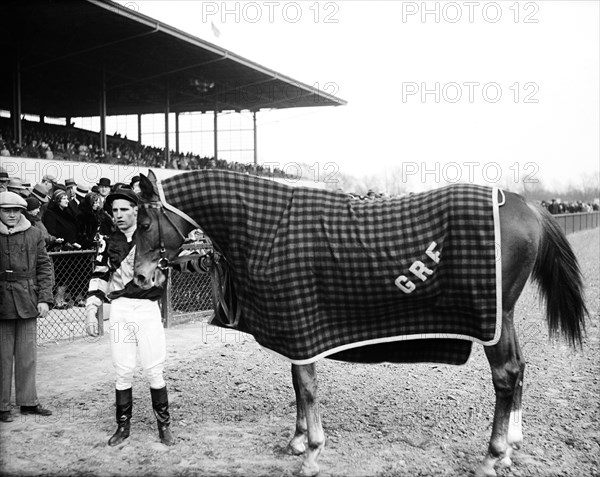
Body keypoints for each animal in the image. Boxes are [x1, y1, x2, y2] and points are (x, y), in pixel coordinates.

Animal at [132, 169, 584, 474]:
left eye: (144, 222)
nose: (139, 276)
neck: (268, 227)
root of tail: (528, 205)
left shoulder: (301, 322)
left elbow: (306, 387)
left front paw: (312, 451)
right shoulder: (296, 329)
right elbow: (297, 384)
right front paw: (298, 440)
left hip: (494, 319)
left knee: (506, 375)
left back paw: (492, 456)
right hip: (503, 319)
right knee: (520, 368)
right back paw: (511, 444)